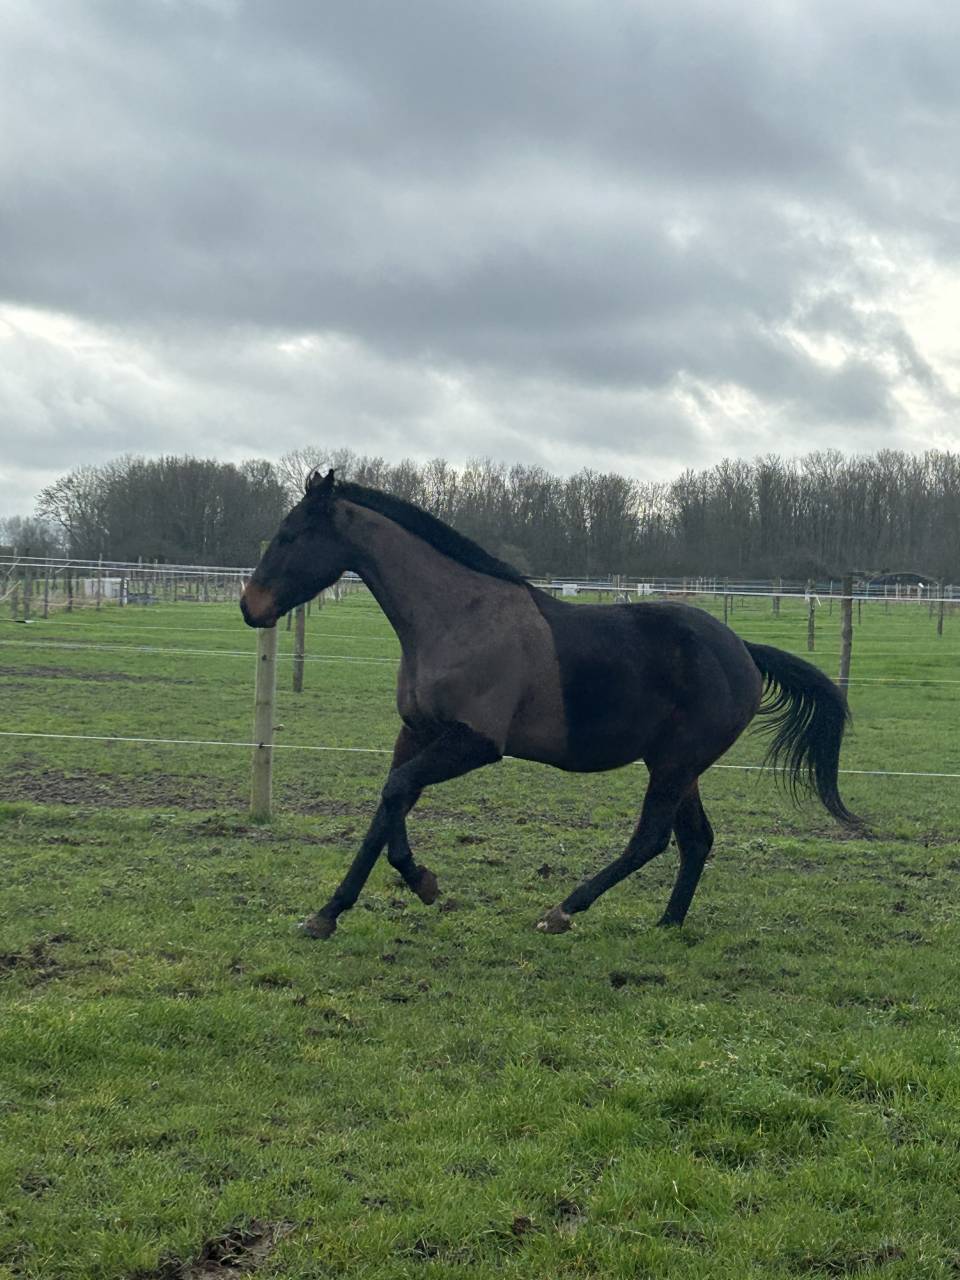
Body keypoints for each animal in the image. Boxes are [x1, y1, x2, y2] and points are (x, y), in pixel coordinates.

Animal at [241, 469, 858, 939]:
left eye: (290, 535)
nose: (251, 607)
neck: (455, 618)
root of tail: (743, 651)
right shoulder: (415, 733)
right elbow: (387, 808)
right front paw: (332, 913)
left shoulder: (475, 743)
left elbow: (395, 796)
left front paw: (419, 884)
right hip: (679, 766)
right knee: (695, 840)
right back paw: (667, 924)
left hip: (674, 764)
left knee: (652, 839)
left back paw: (563, 910)